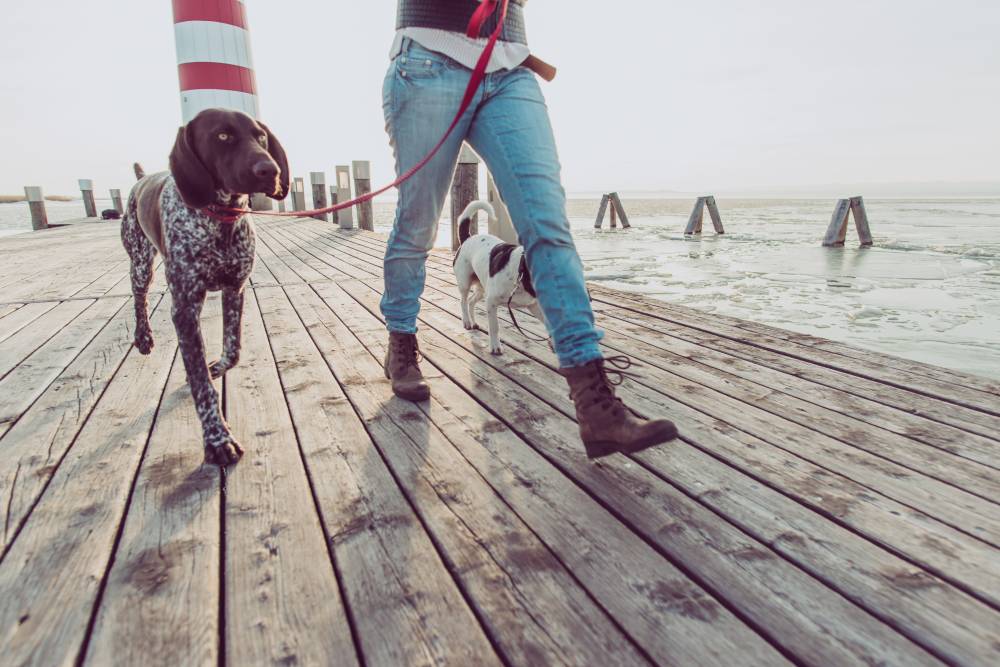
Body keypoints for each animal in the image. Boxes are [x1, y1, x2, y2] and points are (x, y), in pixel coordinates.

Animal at [122, 108, 290, 464]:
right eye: (222, 136)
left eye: (261, 136)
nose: (270, 170)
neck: (220, 219)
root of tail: (142, 178)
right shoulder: (185, 307)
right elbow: (201, 384)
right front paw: (217, 438)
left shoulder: (235, 290)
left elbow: (233, 350)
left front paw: (217, 367)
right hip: (140, 262)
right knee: (139, 297)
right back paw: (143, 337)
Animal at [452, 200, 548, 358]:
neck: (519, 271)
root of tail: (468, 238)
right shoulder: (491, 303)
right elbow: (494, 327)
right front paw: (495, 347)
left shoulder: (534, 306)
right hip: (465, 283)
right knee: (463, 301)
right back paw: (466, 321)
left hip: (481, 289)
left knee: (471, 301)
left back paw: (473, 322)